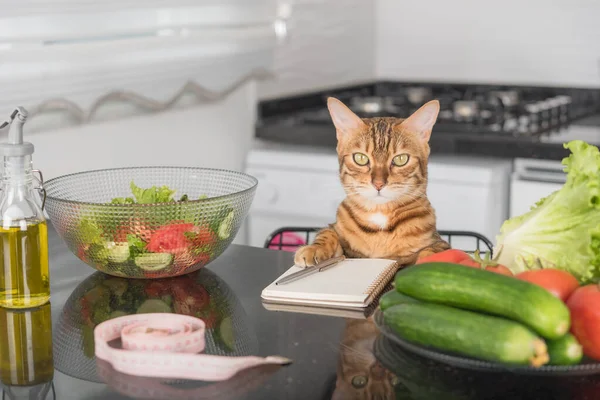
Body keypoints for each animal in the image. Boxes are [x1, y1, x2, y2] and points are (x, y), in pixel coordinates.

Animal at [292, 96, 448, 268]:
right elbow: (327, 232)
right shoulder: (337, 230)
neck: (379, 216)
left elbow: (432, 251)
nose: (378, 184)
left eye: (401, 159)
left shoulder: (440, 243)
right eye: (360, 158)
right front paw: (314, 248)